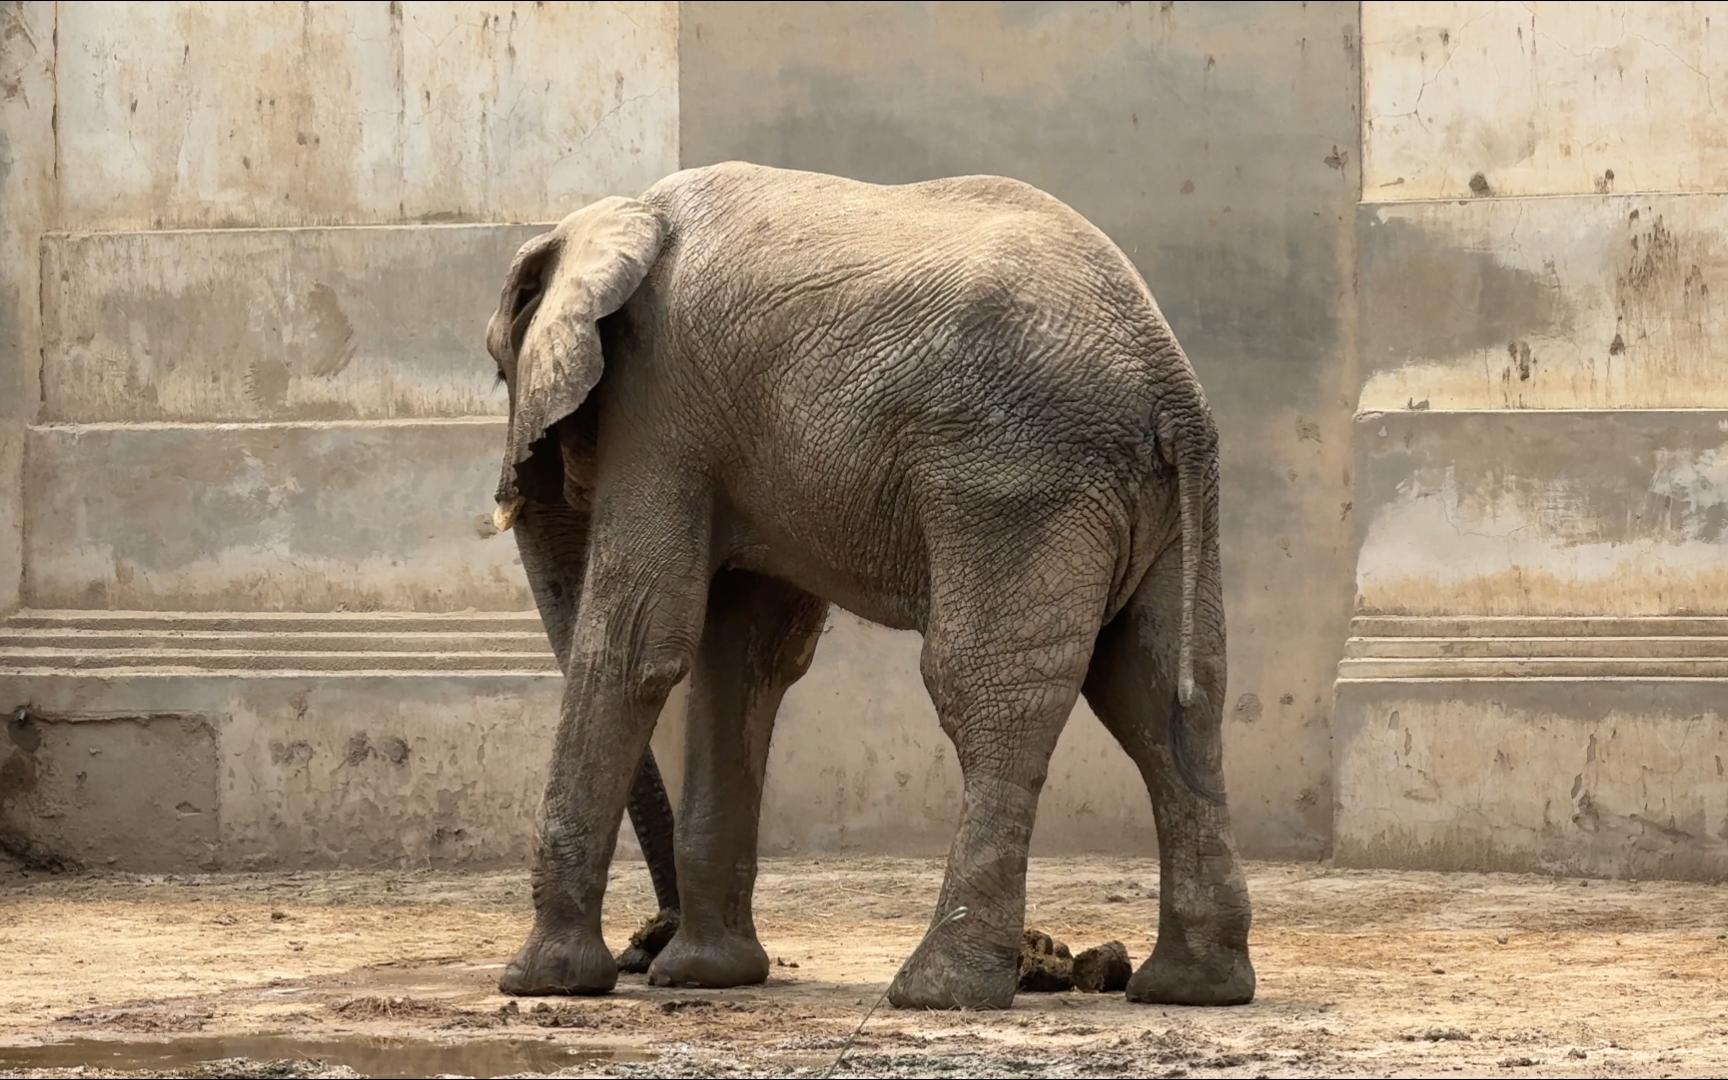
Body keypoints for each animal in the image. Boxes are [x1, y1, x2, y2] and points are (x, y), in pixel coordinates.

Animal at [485, 161, 1254, 1010]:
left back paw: (937, 990)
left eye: (497, 368)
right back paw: (1191, 988)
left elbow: (636, 643)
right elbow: (744, 659)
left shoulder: (659, 409)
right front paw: (705, 975)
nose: (642, 947)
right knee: (1161, 695)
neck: (622, 217)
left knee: (989, 690)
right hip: (1162, 500)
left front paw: (543, 982)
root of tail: (1170, 388)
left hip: (1017, 482)